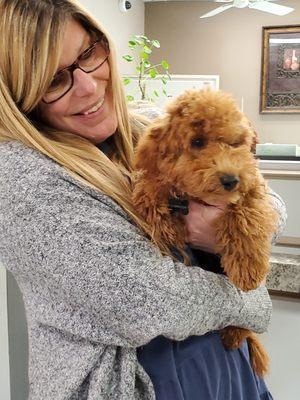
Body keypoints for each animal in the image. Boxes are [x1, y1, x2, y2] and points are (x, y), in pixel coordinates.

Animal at [132, 89, 278, 376]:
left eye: (236, 143)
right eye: (197, 142)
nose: (230, 179)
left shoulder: (254, 190)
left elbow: (246, 217)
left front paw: (248, 268)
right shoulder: (157, 180)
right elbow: (150, 188)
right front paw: (168, 227)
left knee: (244, 325)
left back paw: (234, 335)